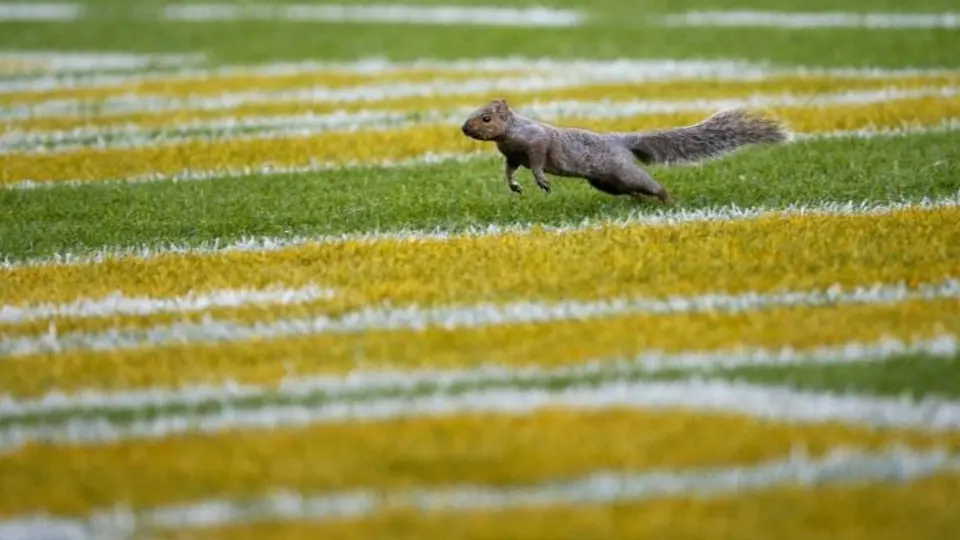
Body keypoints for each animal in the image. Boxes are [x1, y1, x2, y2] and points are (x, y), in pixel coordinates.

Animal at [460, 98, 789, 203]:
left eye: (486, 118)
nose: (464, 128)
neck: (510, 132)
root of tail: (621, 141)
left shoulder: (537, 141)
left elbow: (538, 160)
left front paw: (541, 180)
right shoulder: (512, 155)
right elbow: (509, 169)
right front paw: (513, 185)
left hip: (623, 171)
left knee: (651, 185)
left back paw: (666, 200)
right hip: (607, 182)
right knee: (631, 190)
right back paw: (640, 202)